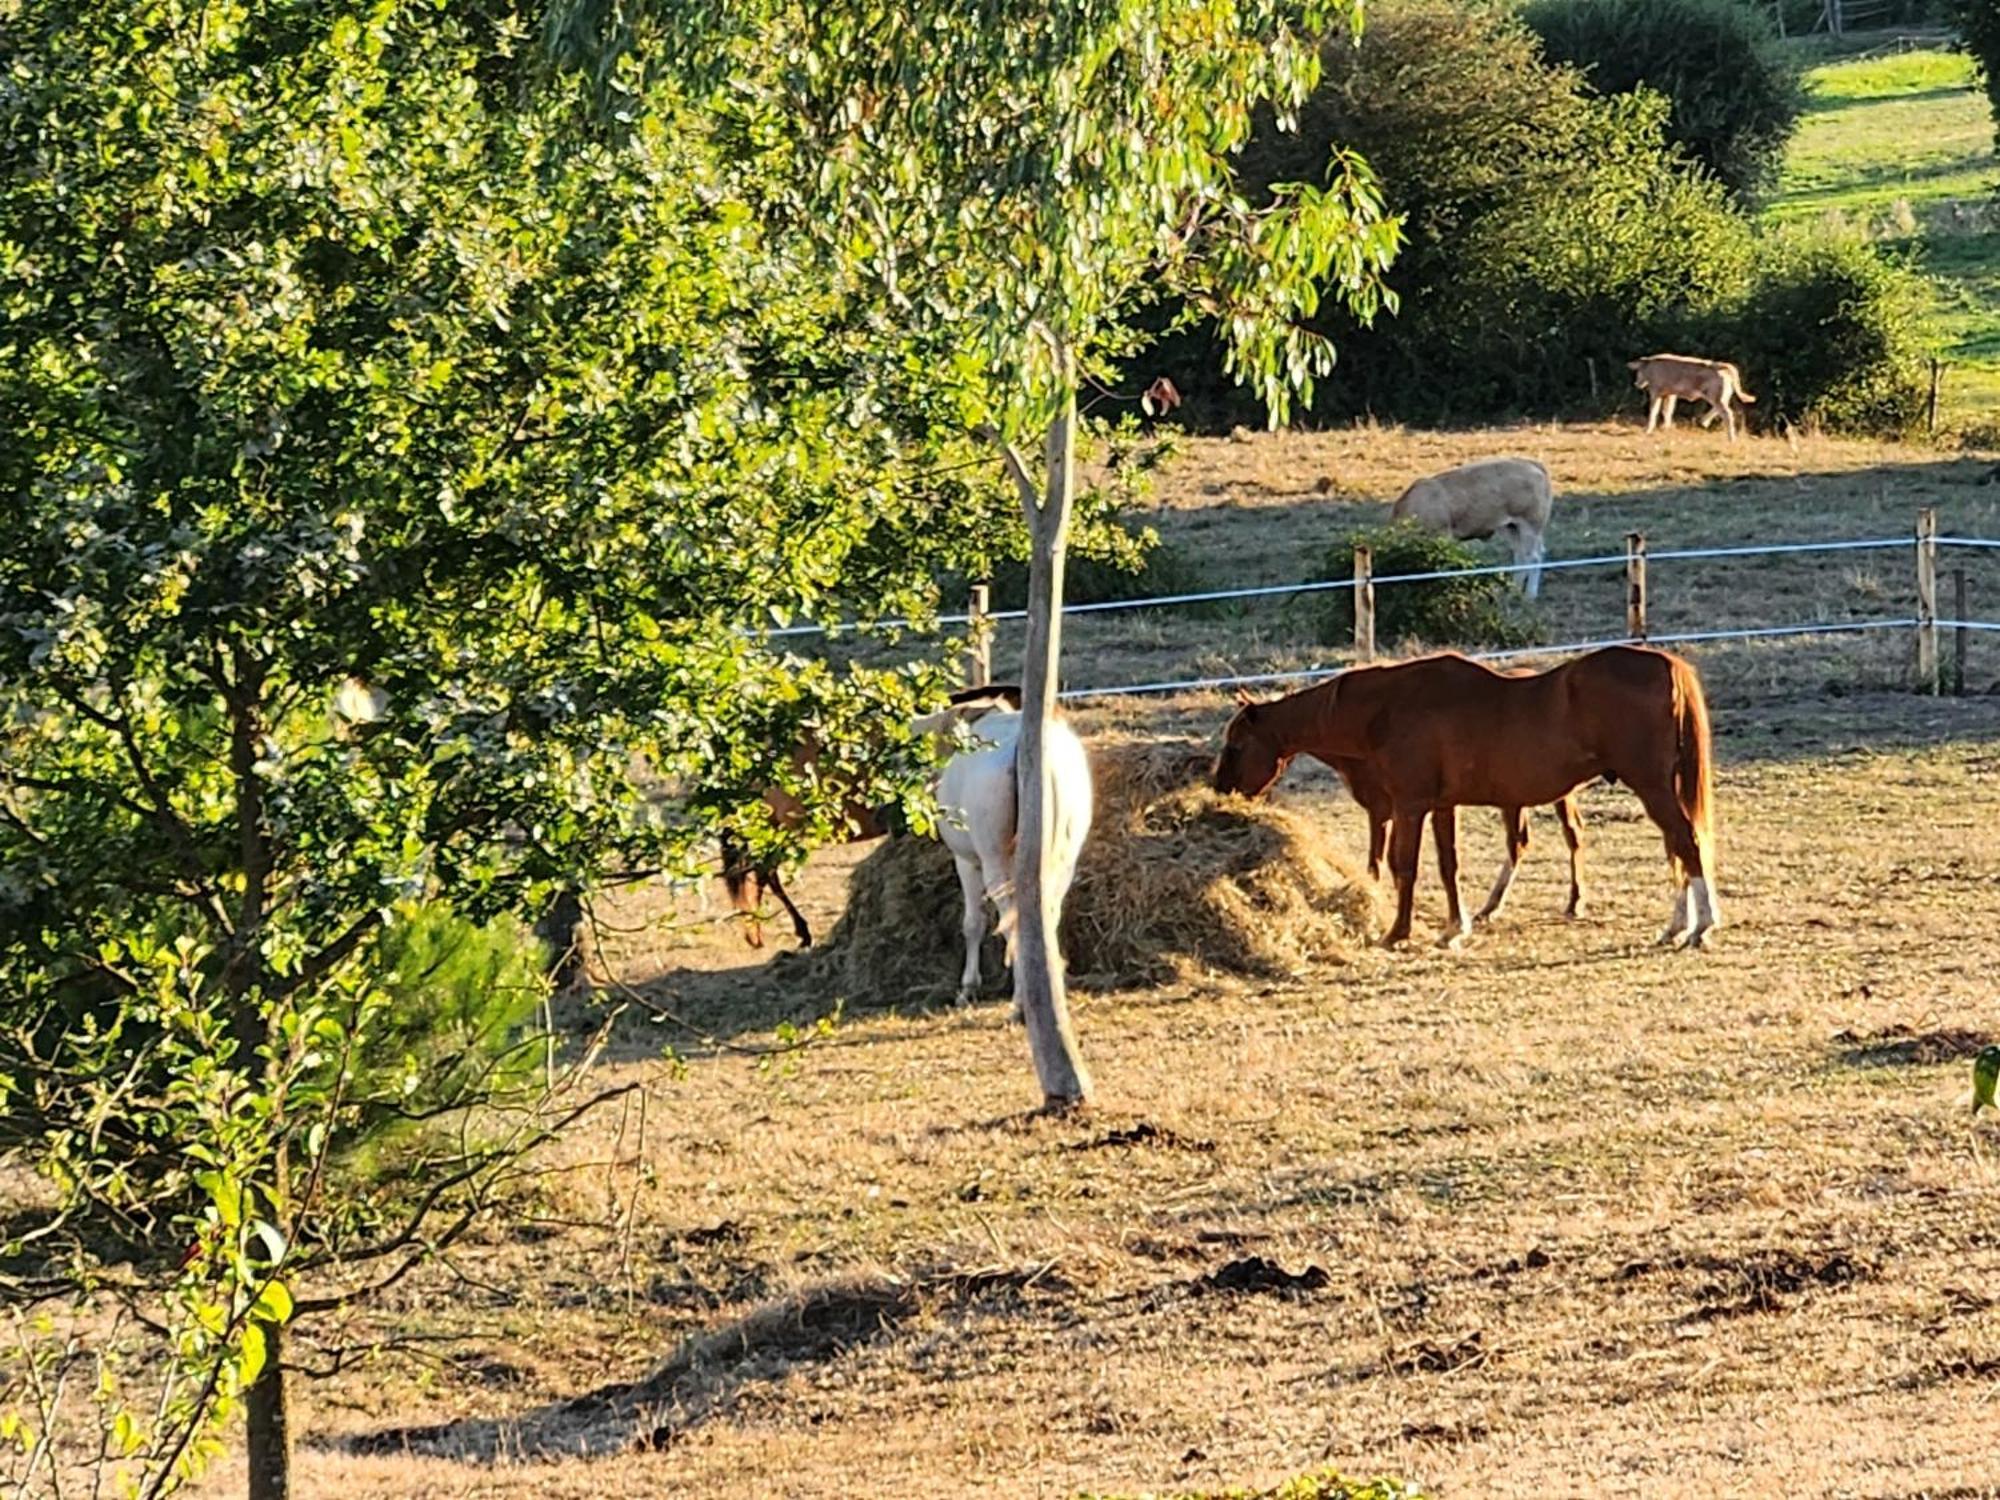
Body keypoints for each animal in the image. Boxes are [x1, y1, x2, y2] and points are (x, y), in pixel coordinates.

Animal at [920, 708, 1096, 1012]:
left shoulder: (966, 862)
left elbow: (973, 923)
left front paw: (969, 987)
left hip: (995, 863)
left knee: (1013, 922)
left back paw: (1021, 999)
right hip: (1063, 863)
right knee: (1048, 916)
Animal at [1216, 648, 1720, 952]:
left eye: (1236, 746)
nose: (1220, 791)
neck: (1386, 707)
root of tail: (1664, 662)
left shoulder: (1410, 805)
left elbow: (1404, 866)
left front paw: (1396, 933)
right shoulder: (1441, 806)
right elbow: (1447, 866)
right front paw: (1454, 928)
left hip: (1652, 786)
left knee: (1687, 843)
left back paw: (1701, 926)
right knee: (1677, 848)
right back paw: (1676, 926)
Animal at [1384, 458, 1552, 600]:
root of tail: (1530, 463)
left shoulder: (1443, 537)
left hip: (1529, 525)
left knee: (1534, 557)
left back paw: (1529, 595)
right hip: (1510, 527)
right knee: (1521, 555)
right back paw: (1513, 591)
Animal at [1632, 354, 1760, 440]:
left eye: (1638, 371)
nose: (1636, 383)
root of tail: (1718, 365)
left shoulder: (1655, 392)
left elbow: (1654, 411)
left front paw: (1647, 430)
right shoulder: (1670, 394)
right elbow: (1667, 410)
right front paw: (1666, 427)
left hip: (1715, 396)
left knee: (1727, 413)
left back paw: (1731, 438)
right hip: (1722, 396)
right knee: (1721, 410)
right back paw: (1704, 421)